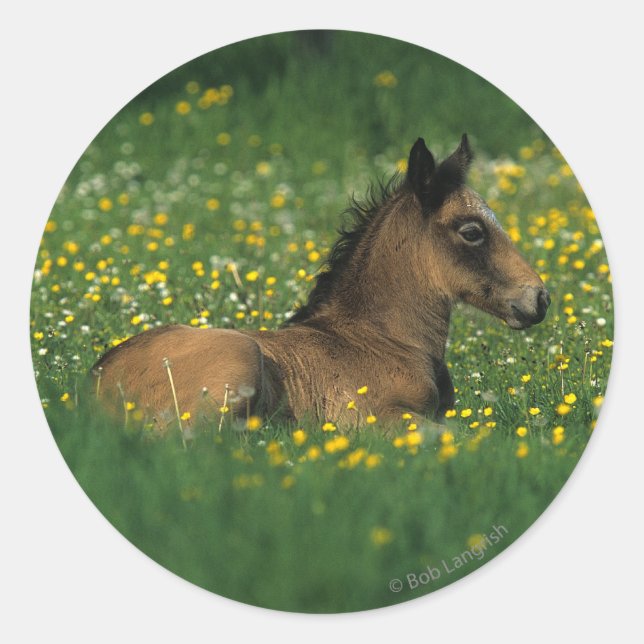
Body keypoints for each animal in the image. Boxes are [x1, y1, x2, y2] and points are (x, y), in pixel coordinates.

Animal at [93, 135, 550, 431]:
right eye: (471, 231)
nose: (540, 297)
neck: (384, 339)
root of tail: (94, 385)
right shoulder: (376, 417)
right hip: (237, 359)